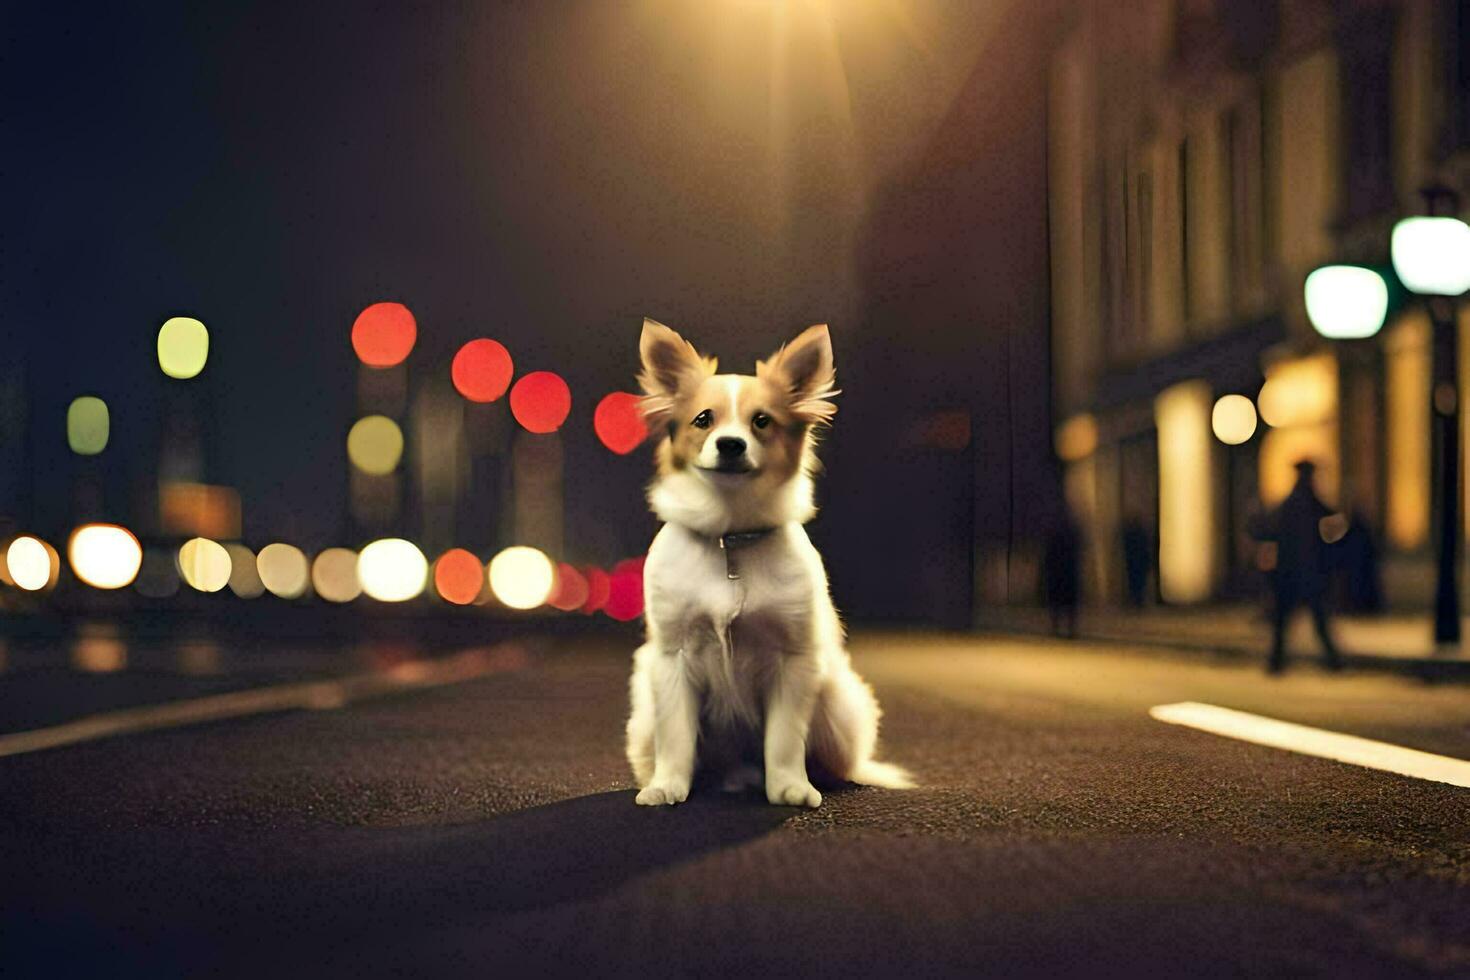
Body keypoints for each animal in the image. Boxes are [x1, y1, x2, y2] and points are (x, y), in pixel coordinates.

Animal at [620, 318, 905, 811]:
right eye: (703, 419)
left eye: (762, 421)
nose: (731, 444)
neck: (729, 538)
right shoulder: (672, 660)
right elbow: (676, 737)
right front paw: (669, 784)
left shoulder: (794, 662)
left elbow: (785, 739)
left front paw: (789, 787)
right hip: (642, 718)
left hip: (839, 704)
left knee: (838, 759)